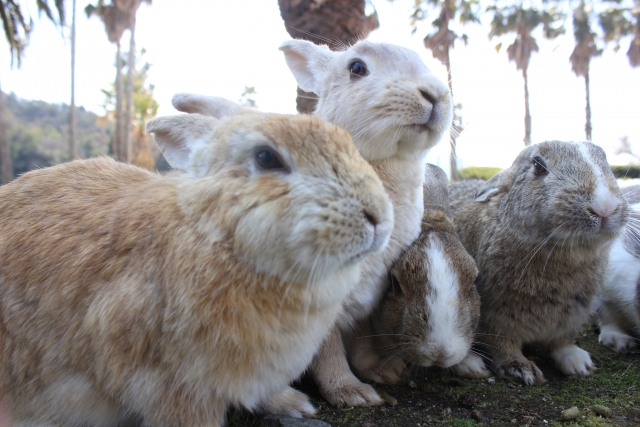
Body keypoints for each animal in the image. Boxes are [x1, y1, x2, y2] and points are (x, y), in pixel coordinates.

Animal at [175, 39, 452, 408]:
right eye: (357, 68)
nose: (435, 94)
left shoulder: (367, 294)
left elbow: (362, 336)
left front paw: (382, 372)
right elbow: (326, 346)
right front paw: (351, 393)